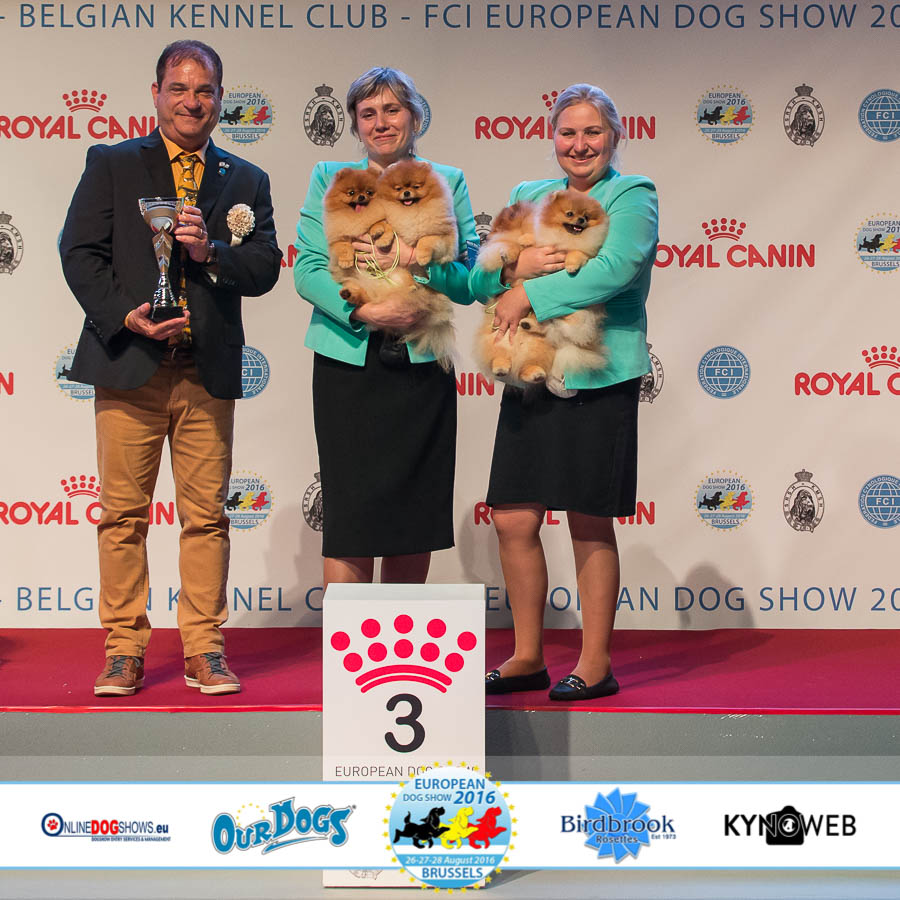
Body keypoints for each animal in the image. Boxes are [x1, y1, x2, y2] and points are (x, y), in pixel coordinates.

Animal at [474, 189, 609, 392]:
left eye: (585, 216)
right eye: (570, 214)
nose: (580, 220)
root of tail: (517, 355)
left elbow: (576, 254)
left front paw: (571, 264)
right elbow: (512, 246)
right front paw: (513, 250)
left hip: (539, 347)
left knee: (536, 353)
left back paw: (533, 363)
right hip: (495, 339)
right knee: (498, 356)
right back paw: (501, 366)